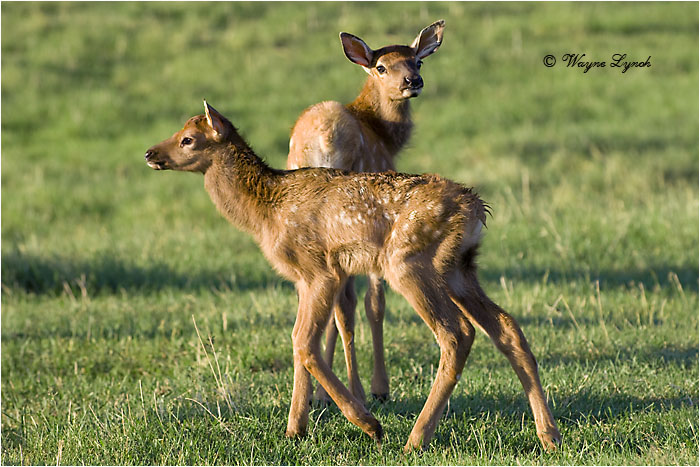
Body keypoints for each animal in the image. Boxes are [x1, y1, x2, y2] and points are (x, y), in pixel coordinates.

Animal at [144, 101, 562, 452]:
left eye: (188, 138)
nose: (150, 153)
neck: (266, 212)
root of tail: (476, 209)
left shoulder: (321, 270)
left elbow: (304, 342)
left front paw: (366, 422)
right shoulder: (302, 279)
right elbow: (298, 341)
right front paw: (295, 429)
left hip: (407, 261)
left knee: (457, 332)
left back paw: (415, 439)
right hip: (460, 268)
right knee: (507, 328)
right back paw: (549, 435)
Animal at [287, 20, 445, 405]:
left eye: (417, 61)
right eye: (381, 67)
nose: (413, 81)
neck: (384, 136)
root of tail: (323, 140)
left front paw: (321, 393)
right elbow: (376, 303)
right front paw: (380, 386)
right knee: (347, 303)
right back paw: (359, 391)